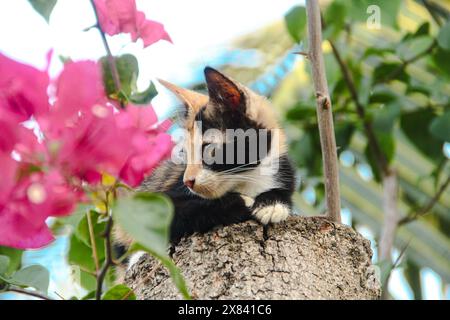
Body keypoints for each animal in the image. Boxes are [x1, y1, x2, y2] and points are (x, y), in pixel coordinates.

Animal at [112, 66, 296, 268]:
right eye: (184, 153)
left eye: (209, 149)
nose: (188, 181)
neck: (248, 177)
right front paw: (243, 202)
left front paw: (272, 204)